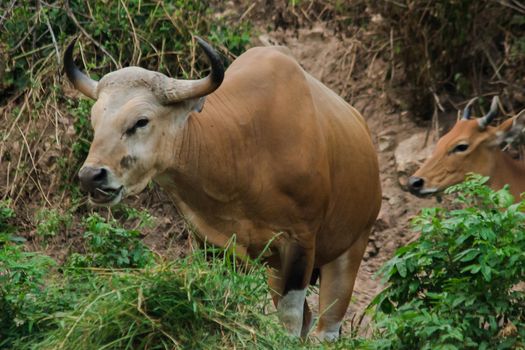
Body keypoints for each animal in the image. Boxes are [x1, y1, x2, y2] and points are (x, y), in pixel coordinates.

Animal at [64, 37, 380, 340]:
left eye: (141, 121)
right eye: (95, 121)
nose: (91, 176)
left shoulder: (300, 243)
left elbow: (289, 322)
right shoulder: (214, 247)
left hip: (350, 250)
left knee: (327, 328)